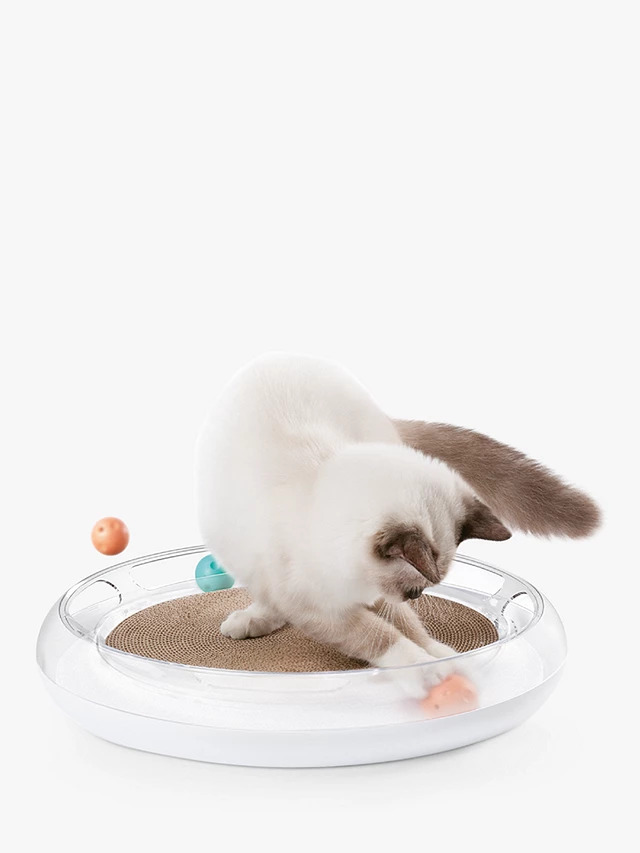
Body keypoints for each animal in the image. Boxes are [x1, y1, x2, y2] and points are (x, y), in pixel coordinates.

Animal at [196, 354, 599, 695]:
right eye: (414, 591)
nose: (418, 596)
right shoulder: (319, 605)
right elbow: (380, 636)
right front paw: (426, 671)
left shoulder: (375, 595)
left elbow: (409, 628)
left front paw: (444, 658)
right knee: (266, 594)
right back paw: (249, 621)